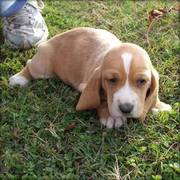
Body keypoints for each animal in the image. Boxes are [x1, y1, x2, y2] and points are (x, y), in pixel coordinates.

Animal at [8, 27, 172, 128]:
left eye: (142, 81)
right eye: (112, 80)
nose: (126, 109)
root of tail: (48, 42)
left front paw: (158, 106)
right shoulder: (85, 86)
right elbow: (100, 100)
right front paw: (111, 116)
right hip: (42, 67)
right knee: (29, 64)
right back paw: (19, 78)